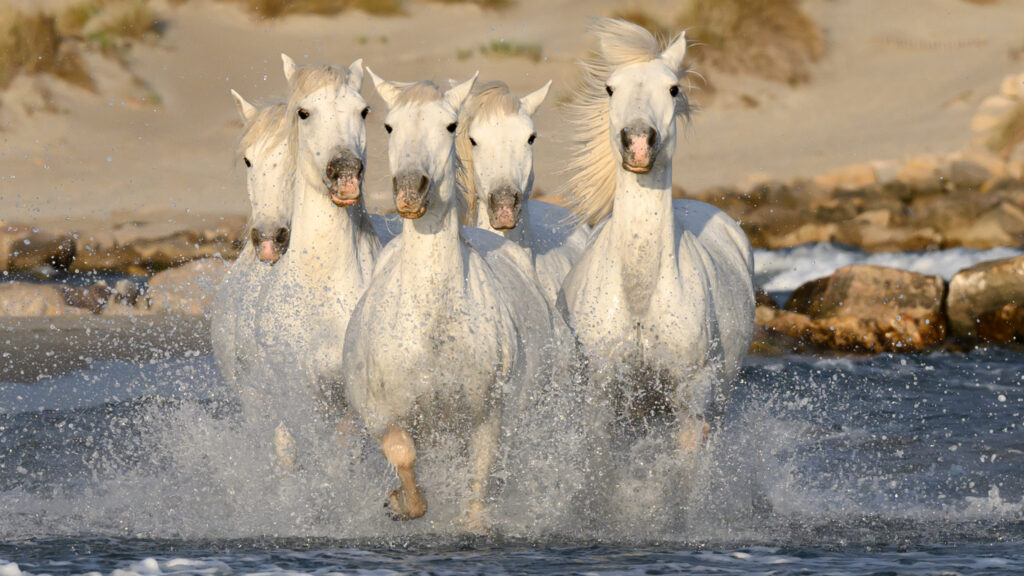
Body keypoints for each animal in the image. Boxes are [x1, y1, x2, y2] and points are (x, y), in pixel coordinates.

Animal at [341, 71, 573, 530]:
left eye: (450, 126)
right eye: (388, 126)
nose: (410, 192)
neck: (433, 328)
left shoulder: (488, 419)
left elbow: (479, 492)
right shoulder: (378, 413)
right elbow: (402, 454)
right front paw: (399, 502)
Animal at [558, 19, 755, 454]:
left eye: (673, 88)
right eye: (610, 88)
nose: (637, 143)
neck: (640, 299)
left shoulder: (691, 395)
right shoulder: (603, 393)